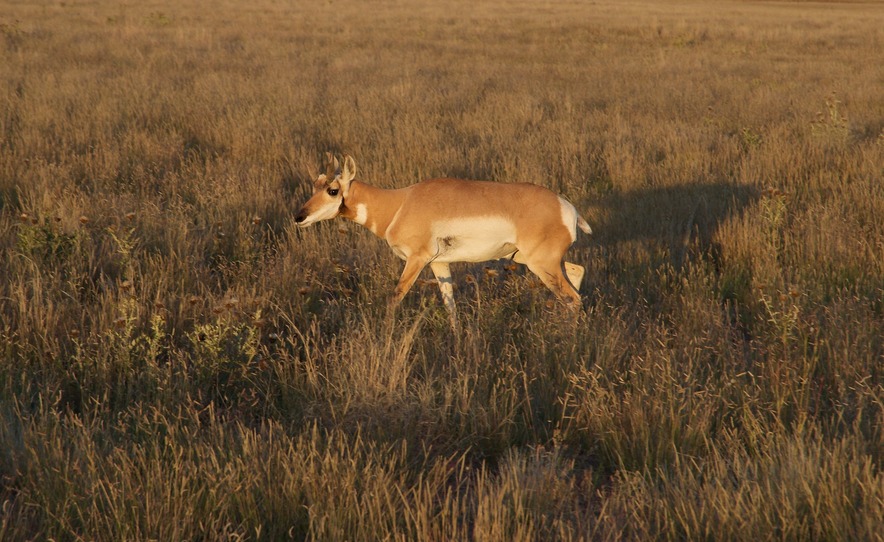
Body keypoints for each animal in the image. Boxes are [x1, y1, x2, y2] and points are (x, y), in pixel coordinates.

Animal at [296, 155, 592, 328]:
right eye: (314, 186)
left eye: (333, 190)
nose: (299, 216)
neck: (400, 203)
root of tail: (566, 207)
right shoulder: (439, 264)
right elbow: (450, 306)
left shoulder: (417, 260)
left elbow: (394, 297)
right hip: (530, 259)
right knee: (577, 274)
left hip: (540, 264)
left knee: (573, 299)